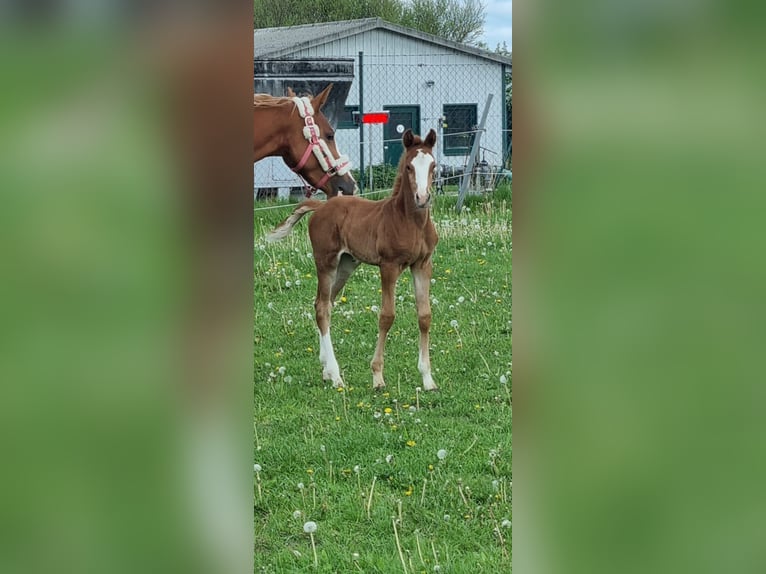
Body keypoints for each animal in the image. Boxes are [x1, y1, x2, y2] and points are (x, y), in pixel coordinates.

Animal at [268, 129, 438, 392]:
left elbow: (425, 316)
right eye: (409, 166)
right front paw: (377, 376)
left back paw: (326, 370)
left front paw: (428, 379)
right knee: (322, 308)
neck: (410, 222)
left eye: (433, 166)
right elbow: (387, 316)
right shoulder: (389, 266)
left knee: (324, 303)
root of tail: (320, 206)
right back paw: (336, 375)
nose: (422, 197)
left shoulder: (422, 265)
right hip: (326, 262)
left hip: (346, 264)